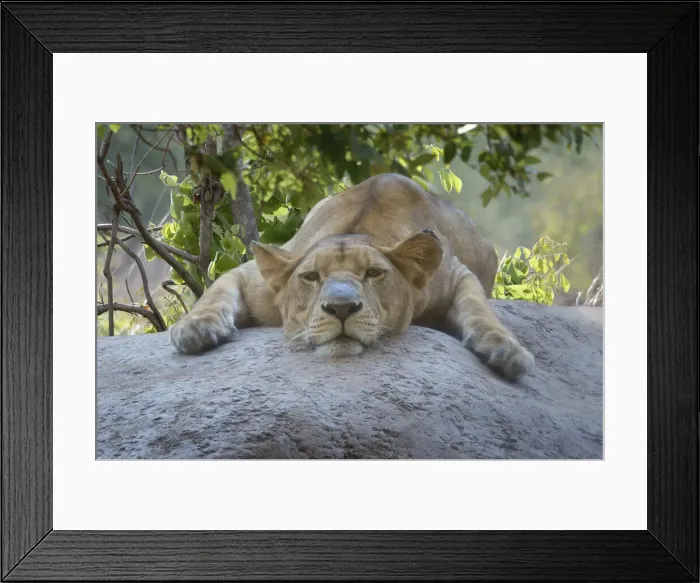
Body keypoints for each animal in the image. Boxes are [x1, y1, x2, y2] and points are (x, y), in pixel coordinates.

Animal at [170, 173, 534, 381]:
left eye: (374, 273)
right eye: (310, 276)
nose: (341, 308)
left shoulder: (456, 272)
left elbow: (479, 307)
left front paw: (505, 348)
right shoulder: (255, 275)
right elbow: (216, 291)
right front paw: (195, 328)